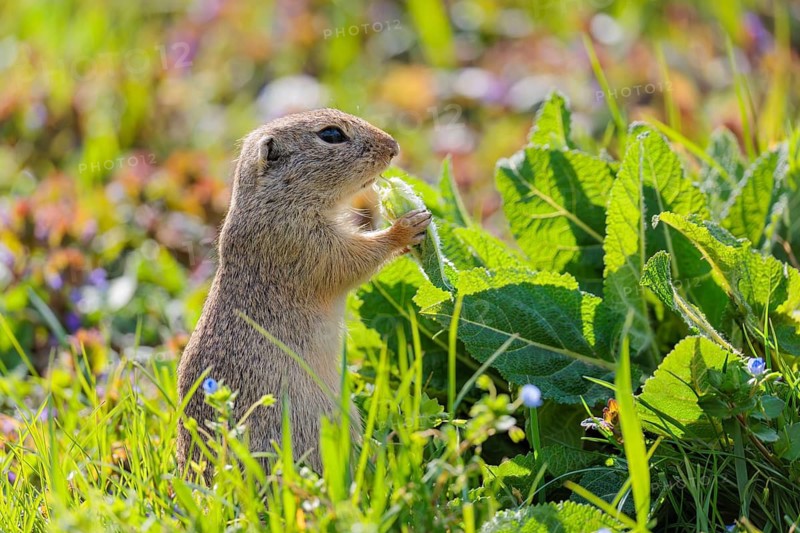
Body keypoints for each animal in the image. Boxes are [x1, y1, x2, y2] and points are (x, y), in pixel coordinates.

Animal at [176, 108, 431, 477]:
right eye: (331, 134)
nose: (393, 147)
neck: (274, 199)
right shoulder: (302, 242)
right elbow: (351, 260)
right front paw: (407, 226)